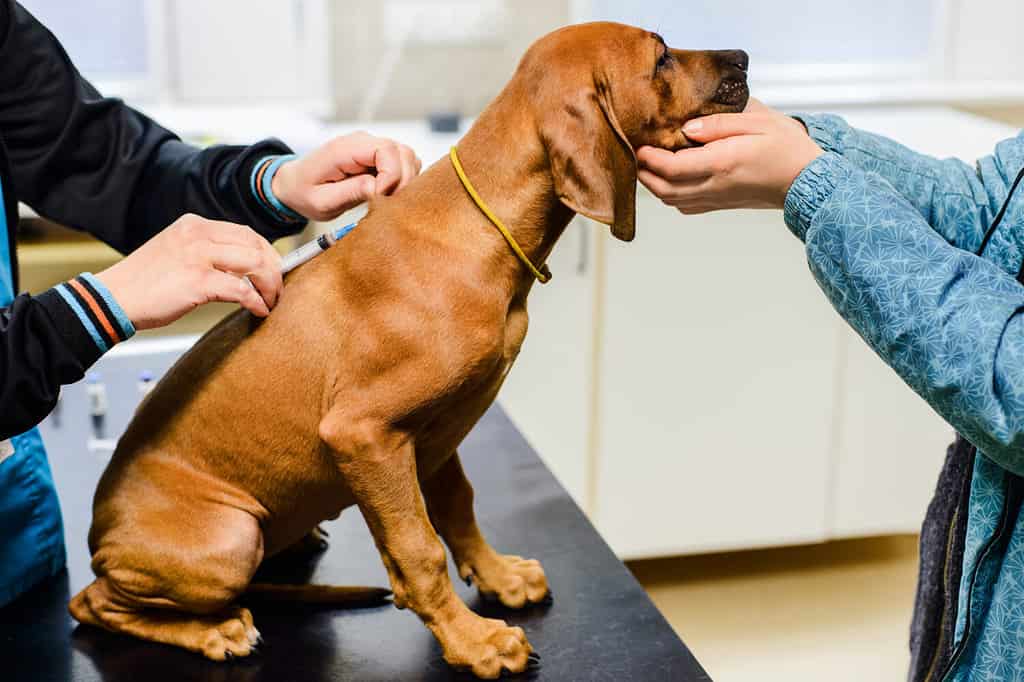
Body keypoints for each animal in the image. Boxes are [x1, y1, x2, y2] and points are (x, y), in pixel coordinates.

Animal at [68, 23, 749, 675]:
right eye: (661, 57)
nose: (743, 58)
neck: (480, 230)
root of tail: (100, 537)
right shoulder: (364, 435)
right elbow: (418, 551)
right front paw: (474, 643)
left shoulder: (436, 432)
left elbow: (458, 508)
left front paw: (498, 578)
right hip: (230, 537)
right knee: (92, 605)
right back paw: (213, 632)